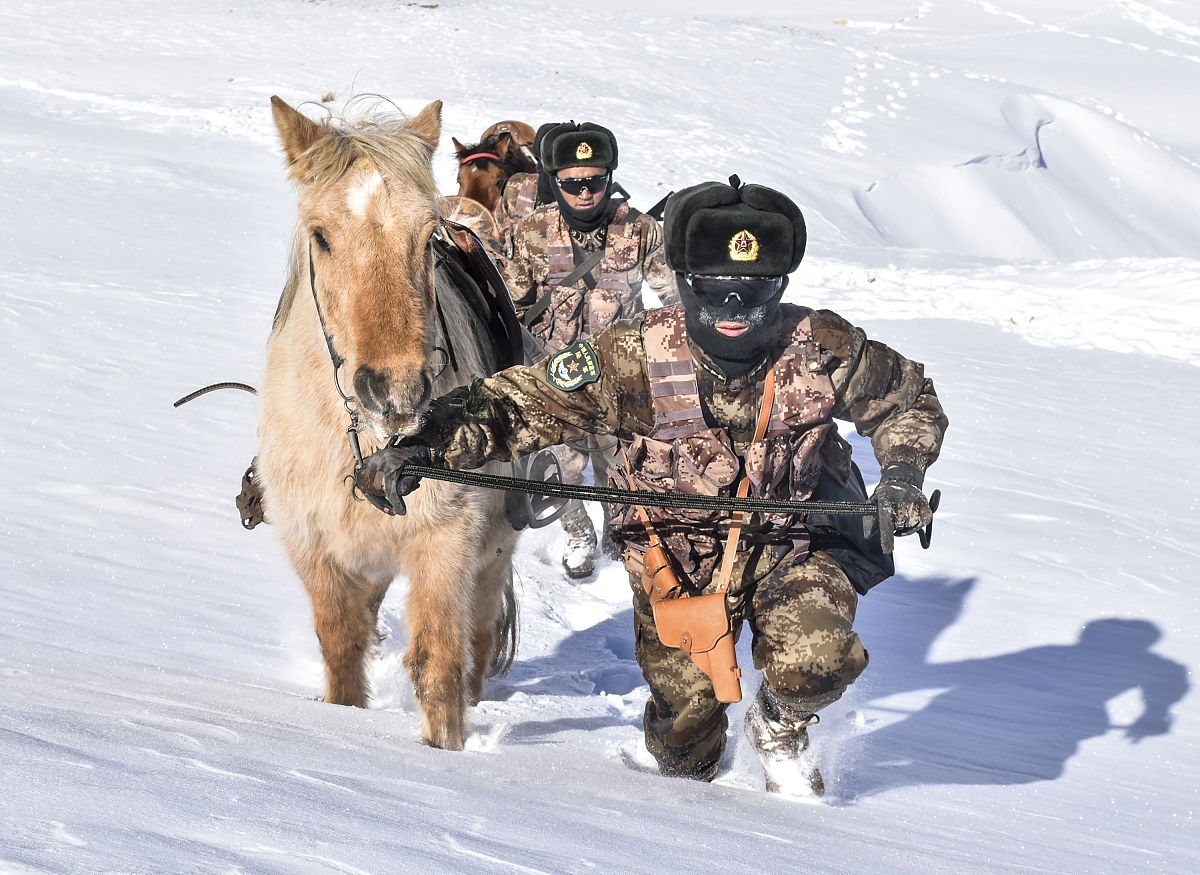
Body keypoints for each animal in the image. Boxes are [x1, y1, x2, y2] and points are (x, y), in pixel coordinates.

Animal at [258, 97, 520, 748]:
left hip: (493, 551)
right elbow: (342, 650)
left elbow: (438, 665)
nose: (397, 391)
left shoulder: (445, 542)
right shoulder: (314, 547)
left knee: (478, 639)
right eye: (321, 237)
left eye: (427, 238)